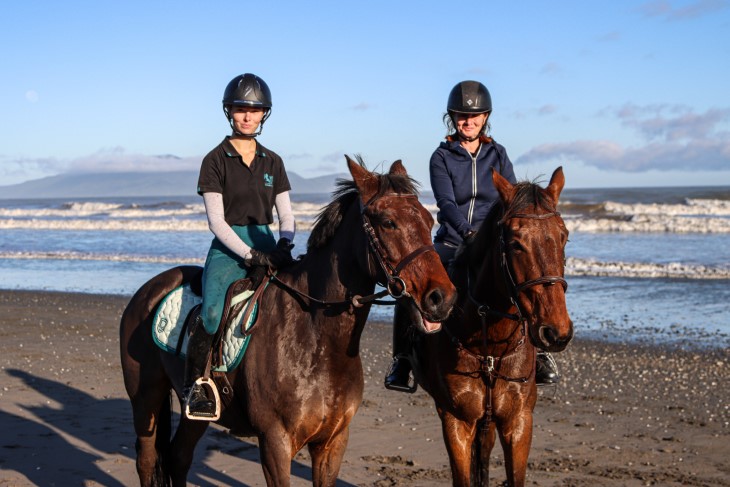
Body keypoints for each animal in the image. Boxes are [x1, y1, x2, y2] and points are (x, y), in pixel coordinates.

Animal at [119, 157, 456, 487]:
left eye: (428, 220)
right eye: (388, 222)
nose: (442, 298)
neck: (315, 338)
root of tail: (148, 290)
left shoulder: (332, 443)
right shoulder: (275, 443)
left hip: (194, 415)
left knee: (179, 458)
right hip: (145, 399)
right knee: (147, 461)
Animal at [410, 168, 568, 487]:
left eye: (564, 237)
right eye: (516, 243)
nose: (556, 332)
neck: (491, 347)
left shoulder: (518, 422)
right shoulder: (456, 421)